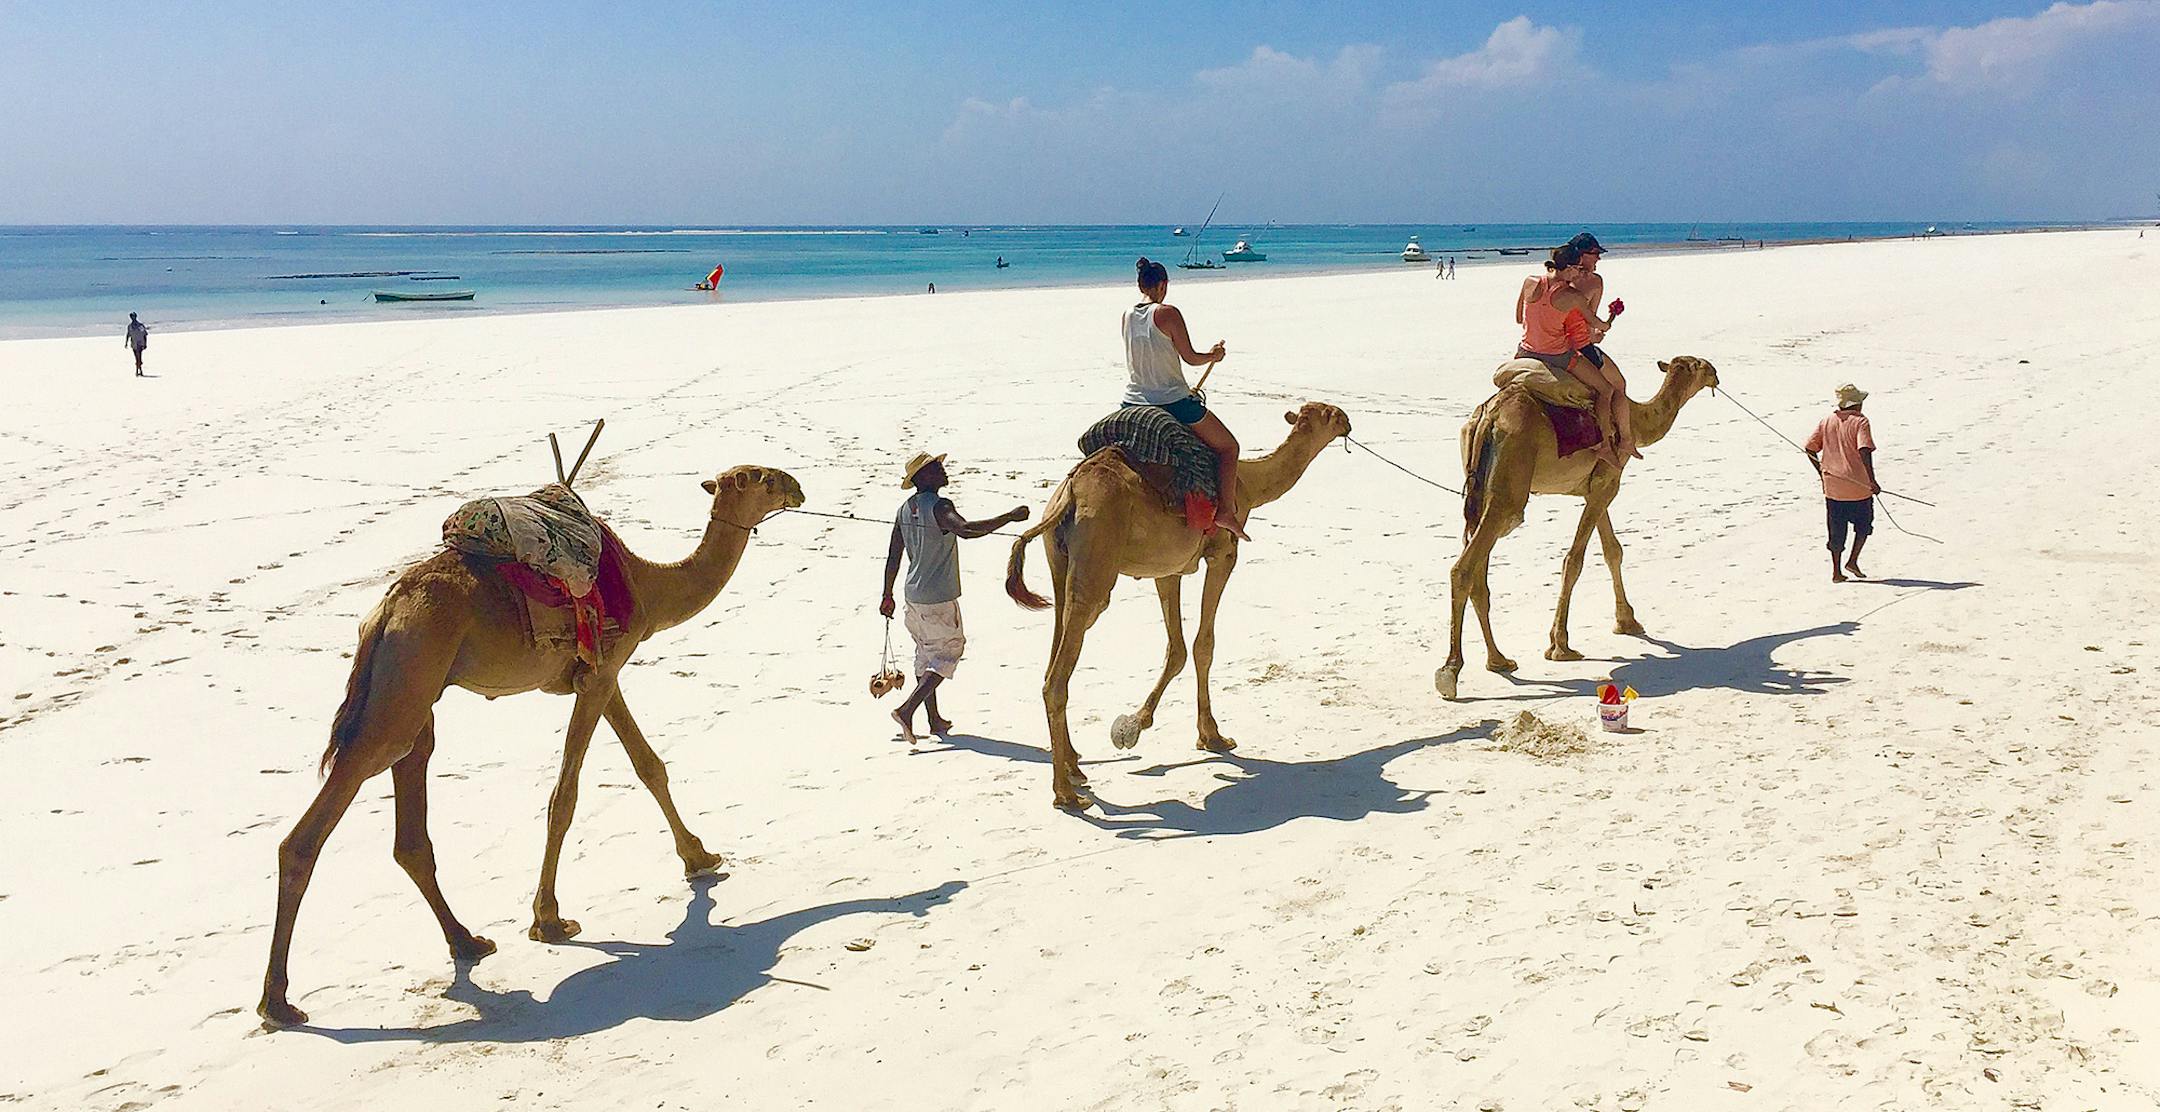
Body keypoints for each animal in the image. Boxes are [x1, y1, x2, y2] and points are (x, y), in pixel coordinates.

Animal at [258, 465, 805, 1028]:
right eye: (761, 478)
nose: (798, 487)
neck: (648, 584)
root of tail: (383, 615)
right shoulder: (601, 673)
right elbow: (565, 797)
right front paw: (549, 920)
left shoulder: (601, 672)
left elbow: (648, 765)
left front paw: (700, 857)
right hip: (407, 676)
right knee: (317, 822)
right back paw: (279, 1002)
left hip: (413, 688)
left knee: (411, 814)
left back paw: (468, 942)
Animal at [1005, 402, 1352, 809]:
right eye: (1332, 414)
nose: (1348, 421)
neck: (1248, 484)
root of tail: (1071, 494)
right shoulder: (1223, 554)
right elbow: (1204, 645)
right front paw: (1211, 735)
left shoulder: (1167, 569)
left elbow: (1177, 648)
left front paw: (1136, 726)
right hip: (1095, 564)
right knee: (1058, 677)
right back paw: (1066, 794)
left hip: (1060, 565)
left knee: (1053, 659)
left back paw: (1075, 766)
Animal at [1436, 356, 1721, 700]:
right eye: (1700, 365)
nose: (1716, 374)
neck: (1635, 420)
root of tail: (1489, 416)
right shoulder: (1607, 482)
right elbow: (1575, 560)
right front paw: (1561, 646)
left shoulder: (1597, 485)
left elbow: (1613, 550)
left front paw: (1627, 622)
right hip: (1509, 490)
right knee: (1465, 567)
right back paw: (1450, 672)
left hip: (1478, 489)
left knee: (1478, 571)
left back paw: (1499, 660)